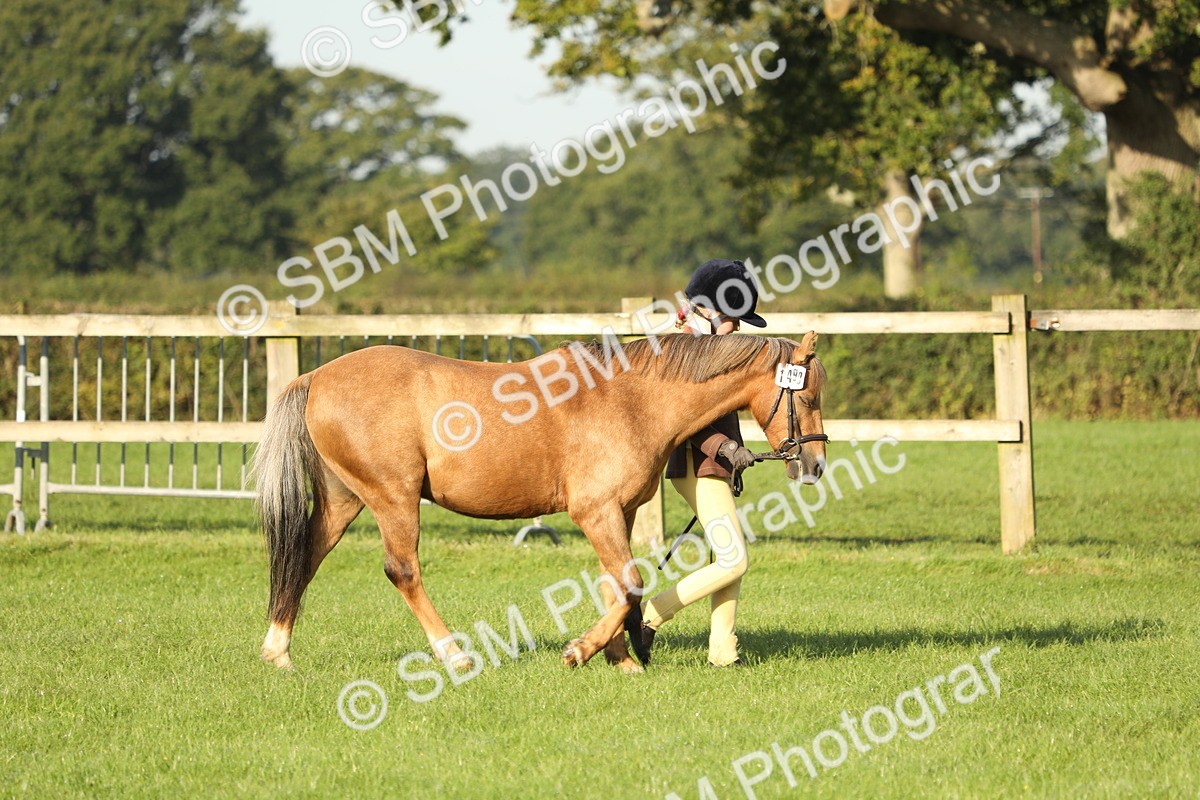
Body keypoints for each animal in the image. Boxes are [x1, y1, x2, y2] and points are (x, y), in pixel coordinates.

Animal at [255, 331, 827, 673]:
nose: (816, 464)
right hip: (392, 497)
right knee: (403, 571)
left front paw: (621, 657)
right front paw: (583, 651)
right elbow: (630, 582)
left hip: (344, 499)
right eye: (807, 395)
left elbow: (616, 585)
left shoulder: (617, 513)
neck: (631, 399)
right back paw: (455, 655)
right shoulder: (595, 512)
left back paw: (278, 651)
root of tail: (316, 377)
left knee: (304, 558)